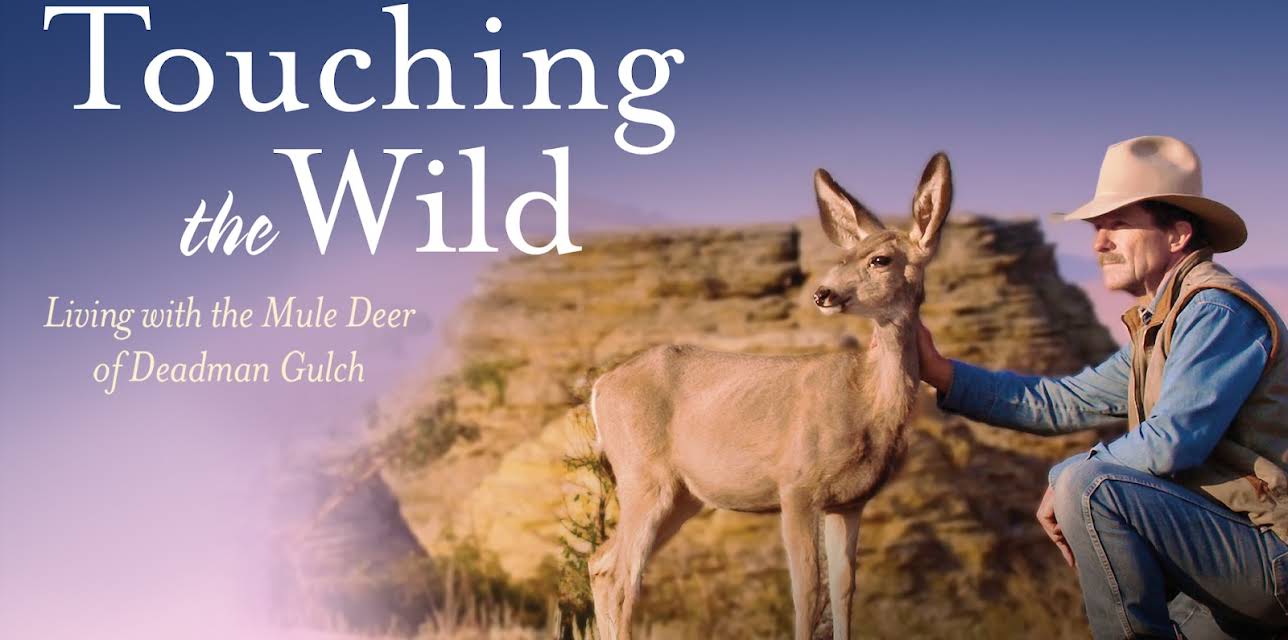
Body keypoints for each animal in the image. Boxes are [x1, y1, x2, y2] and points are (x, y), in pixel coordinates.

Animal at [585, 152, 953, 640]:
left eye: (880, 258)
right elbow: (807, 593)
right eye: (842, 256)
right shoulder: (796, 485)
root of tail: (601, 386)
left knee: (599, 563)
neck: (866, 400)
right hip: (643, 476)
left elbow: (845, 592)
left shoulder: (849, 502)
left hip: (683, 495)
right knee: (620, 575)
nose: (823, 293)